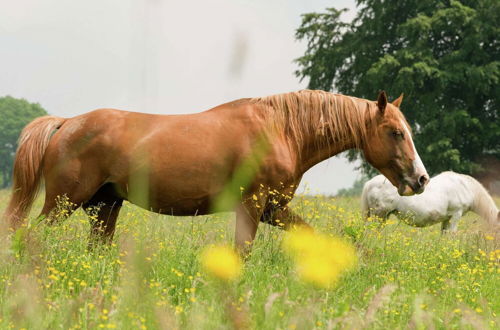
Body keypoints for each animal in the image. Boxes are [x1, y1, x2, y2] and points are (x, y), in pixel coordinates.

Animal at [1, 89, 428, 250]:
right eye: (395, 132)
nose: (421, 179)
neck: (282, 130)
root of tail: (66, 123)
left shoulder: (274, 210)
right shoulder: (253, 206)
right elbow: (243, 251)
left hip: (104, 207)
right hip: (64, 202)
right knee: (30, 236)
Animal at [362, 171, 498, 231]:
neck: (466, 187)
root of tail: (369, 183)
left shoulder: (447, 219)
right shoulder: (456, 215)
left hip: (383, 216)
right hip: (379, 215)